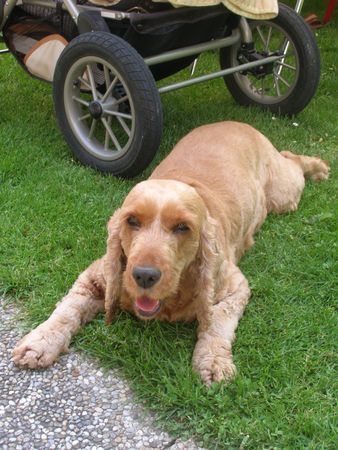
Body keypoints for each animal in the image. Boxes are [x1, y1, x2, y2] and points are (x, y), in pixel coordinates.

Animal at [11, 121, 328, 384]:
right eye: (132, 221)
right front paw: (40, 341)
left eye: (182, 227)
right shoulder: (96, 276)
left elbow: (217, 322)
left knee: (292, 160)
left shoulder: (235, 287)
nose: (144, 276)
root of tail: (237, 121)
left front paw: (213, 362)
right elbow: (67, 308)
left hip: (284, 193)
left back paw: (319, 167)